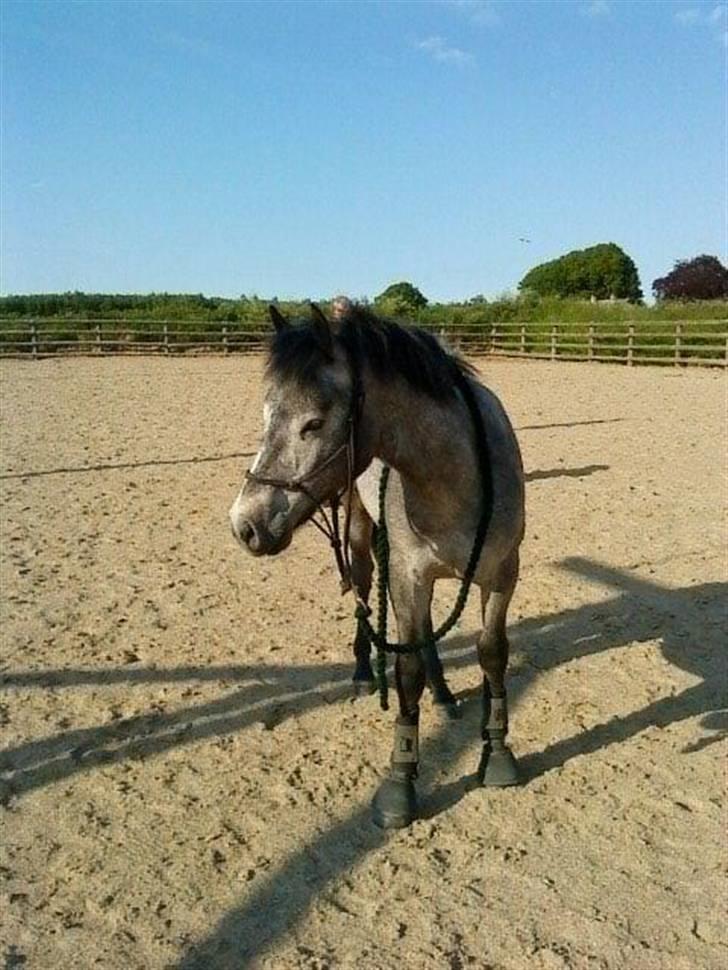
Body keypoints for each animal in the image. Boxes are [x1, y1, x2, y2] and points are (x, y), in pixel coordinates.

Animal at [230, 302, 528, 824]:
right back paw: (364, 674)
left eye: (314, 423)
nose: (245, 524)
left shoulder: (501, 573)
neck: (456, 480)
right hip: (361, 534)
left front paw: (497, 754)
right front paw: (400, 782)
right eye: (267, 415)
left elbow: (492, 654)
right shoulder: (410, 574)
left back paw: (443, 693)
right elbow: (405, 672)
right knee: (368, 594)